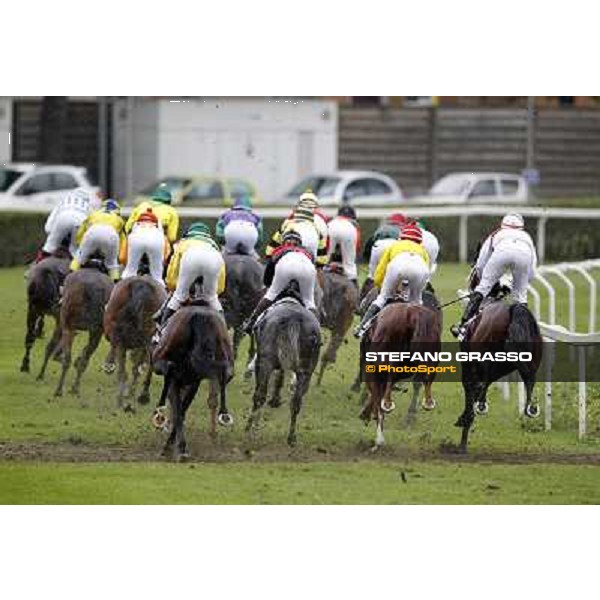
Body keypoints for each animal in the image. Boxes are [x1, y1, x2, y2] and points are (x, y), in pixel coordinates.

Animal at [38, 264, 113, 396]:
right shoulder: (92, 330)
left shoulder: (63, 324)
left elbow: (51, 347)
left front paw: (41, 375)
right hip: (94, 331)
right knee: (83, 359)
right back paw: (74, 387)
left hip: (71, 326)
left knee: (67, 358)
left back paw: (60, 388)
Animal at [103, 278, 166, 410]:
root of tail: (140, 285)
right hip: (148, 337)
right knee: (143, 365)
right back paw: (142, 396)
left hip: (121, 336)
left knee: (125, 370)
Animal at [151, 302, 233, 462]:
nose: (155, 316)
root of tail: (198, 316)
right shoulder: (193, 382)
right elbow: (181, 411)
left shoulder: (177, 381)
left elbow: (178, 411)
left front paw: (172, 447)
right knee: (223, 371)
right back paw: (223, 414)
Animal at [244, 288, 322, 448]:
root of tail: (295, 319)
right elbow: (280, 377)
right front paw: (276, 399)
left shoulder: (262, 362)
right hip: (306, 370)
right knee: (296, 401)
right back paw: (291, 437)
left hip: (265, 363)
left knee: (259, 396)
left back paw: (250, 428)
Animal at [358, 302, 442, 448]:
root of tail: (413, 315)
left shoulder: (371, 370)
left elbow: (376, 395)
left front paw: (367, 414)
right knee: (425, 379)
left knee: (382, 396)